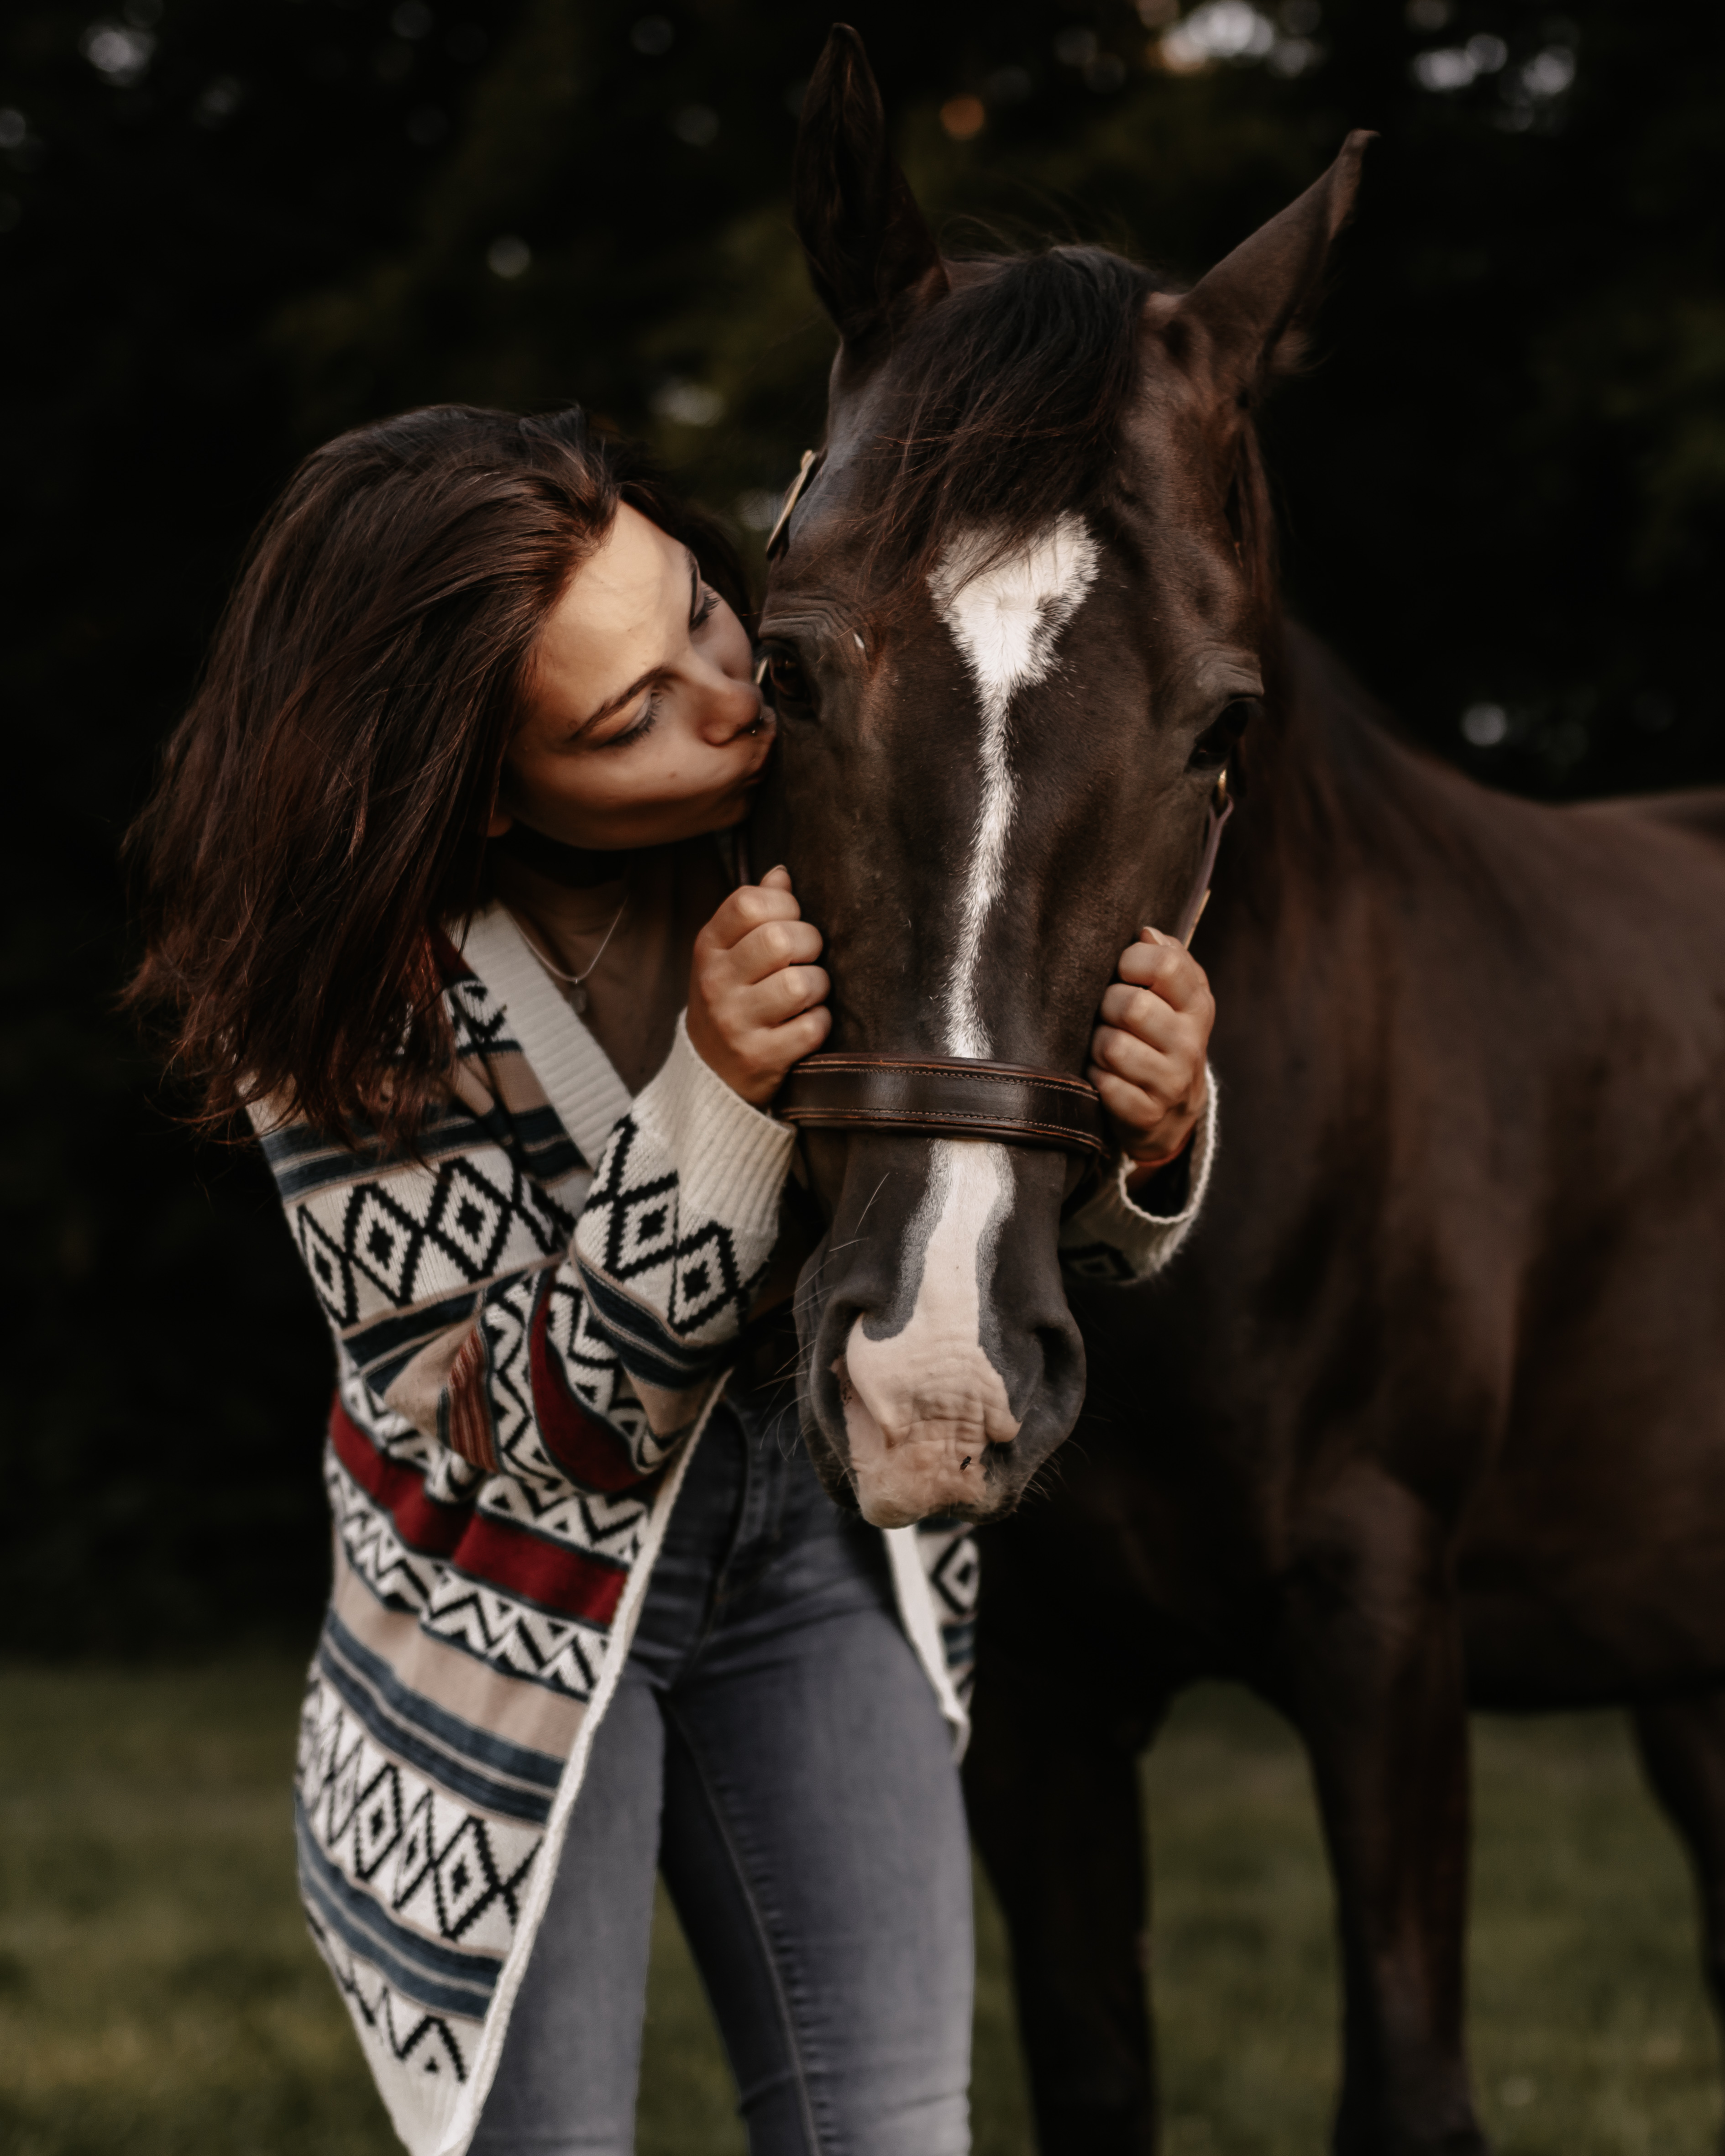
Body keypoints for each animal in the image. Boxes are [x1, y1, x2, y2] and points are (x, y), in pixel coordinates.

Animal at [753, 28, 1725, 2156]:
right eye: (783, 674)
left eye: (1224, 722)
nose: (933, 1372)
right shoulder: (1039, 1698)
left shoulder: (1382, 1639)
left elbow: (1407, 2083)